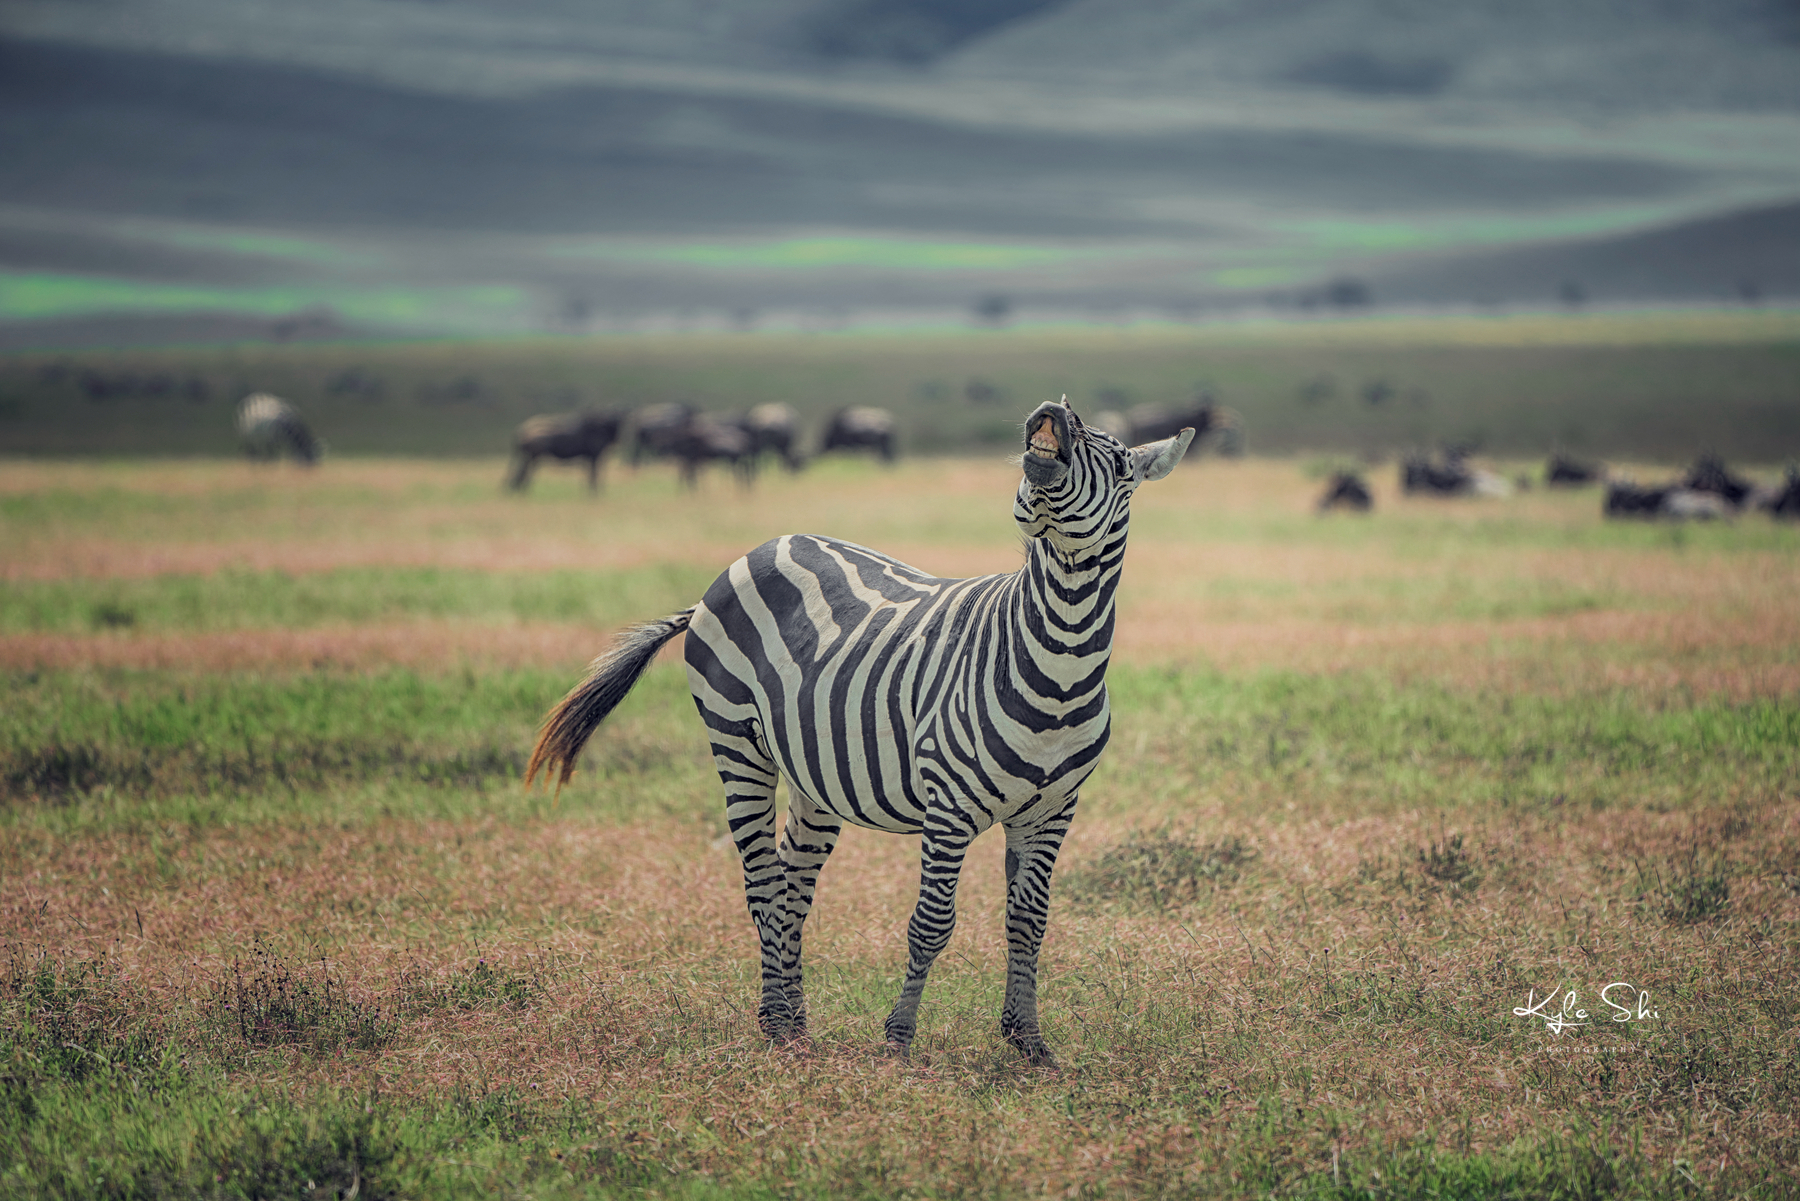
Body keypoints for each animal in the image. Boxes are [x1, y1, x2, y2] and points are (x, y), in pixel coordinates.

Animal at [525, 399, 1195, 1065]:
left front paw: (1027, 1041)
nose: (1053, 410)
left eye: (1118, 462)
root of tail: (758, 550)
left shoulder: (1053, 810)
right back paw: (776, 1023)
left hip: (813, 775)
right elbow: (931, 923)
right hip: (736, 743)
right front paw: (898, 1040)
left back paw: (795, 1023)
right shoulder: (948, 805)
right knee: (762, 882)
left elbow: (1029, 922)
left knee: (791, 886)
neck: (1059, 658)